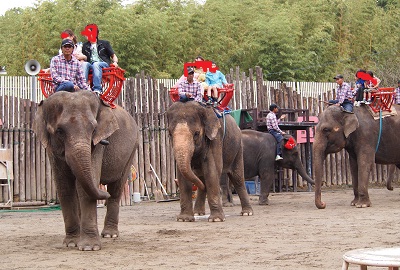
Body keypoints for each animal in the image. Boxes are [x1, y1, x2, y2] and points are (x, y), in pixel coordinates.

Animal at [32, 91, 138, 251]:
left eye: (94, 129)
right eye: (59, 131)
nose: (103, 192)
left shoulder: (98, 144)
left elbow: (85, 188)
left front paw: (89, 248)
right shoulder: (52, 149)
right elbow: (64, 187)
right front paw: (71, 243)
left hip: (131, 150)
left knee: (116, 188)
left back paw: (110, 235)